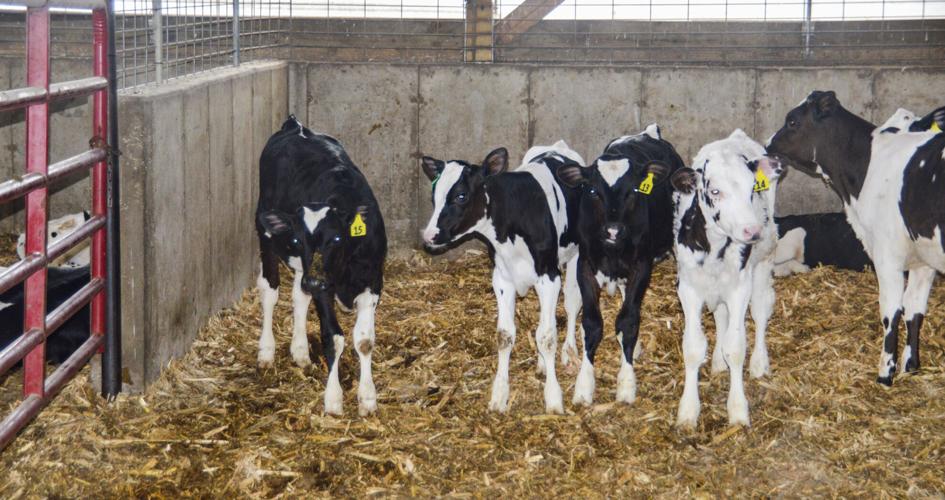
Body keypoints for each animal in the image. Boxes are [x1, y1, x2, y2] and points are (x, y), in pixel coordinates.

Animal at [255, 115, 387, 416]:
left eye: (336, 238)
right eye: (296, 238)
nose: (314, 282)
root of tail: (296, 126)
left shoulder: (373, 281)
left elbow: (364, 340)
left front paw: (367, 397)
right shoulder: (324, 289)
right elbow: (333, 337)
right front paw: (333, 399)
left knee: (298, 295)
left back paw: (300, 350)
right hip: (265, 235)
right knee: (270, 292)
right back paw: (266, 351)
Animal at [419, 140, 586, 414]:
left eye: (461, 195)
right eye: (434, 196)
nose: (429, 235)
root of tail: (556, 147)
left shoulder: (549, 277)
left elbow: (547, 336)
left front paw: (553, 397)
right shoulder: (502, 279)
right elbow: (505, 335)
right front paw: (499, 394)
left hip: (575, 255)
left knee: (572, 304)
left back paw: (569, 353)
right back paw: (542, 364)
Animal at [554, 124, 683, 406]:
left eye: (634, 191)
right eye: (592, 191)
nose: (613, 230)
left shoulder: (642, 266)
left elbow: (628, 320)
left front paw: (626, 383)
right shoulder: (585, 266)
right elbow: (591, 323)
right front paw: (584, 385)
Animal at [670, 129, 783, 429]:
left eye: (752, 189)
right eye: (714, 191)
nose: (752, 231)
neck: (714, 248)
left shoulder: (739, 287)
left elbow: (736, 347)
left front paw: (738, 409)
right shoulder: (688, 287)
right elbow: (693, 347)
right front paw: (688, 410)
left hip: (764, 261)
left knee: (761, 311)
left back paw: (759, 363)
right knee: (721, 315)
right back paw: (718, 364)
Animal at [767, 91, 945, 386]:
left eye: (792, 121)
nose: (767, 145)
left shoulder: (887, 256)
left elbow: (891, 310)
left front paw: (885, 373)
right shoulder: (923, 257)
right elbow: (914, 309)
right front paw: (911, 365)